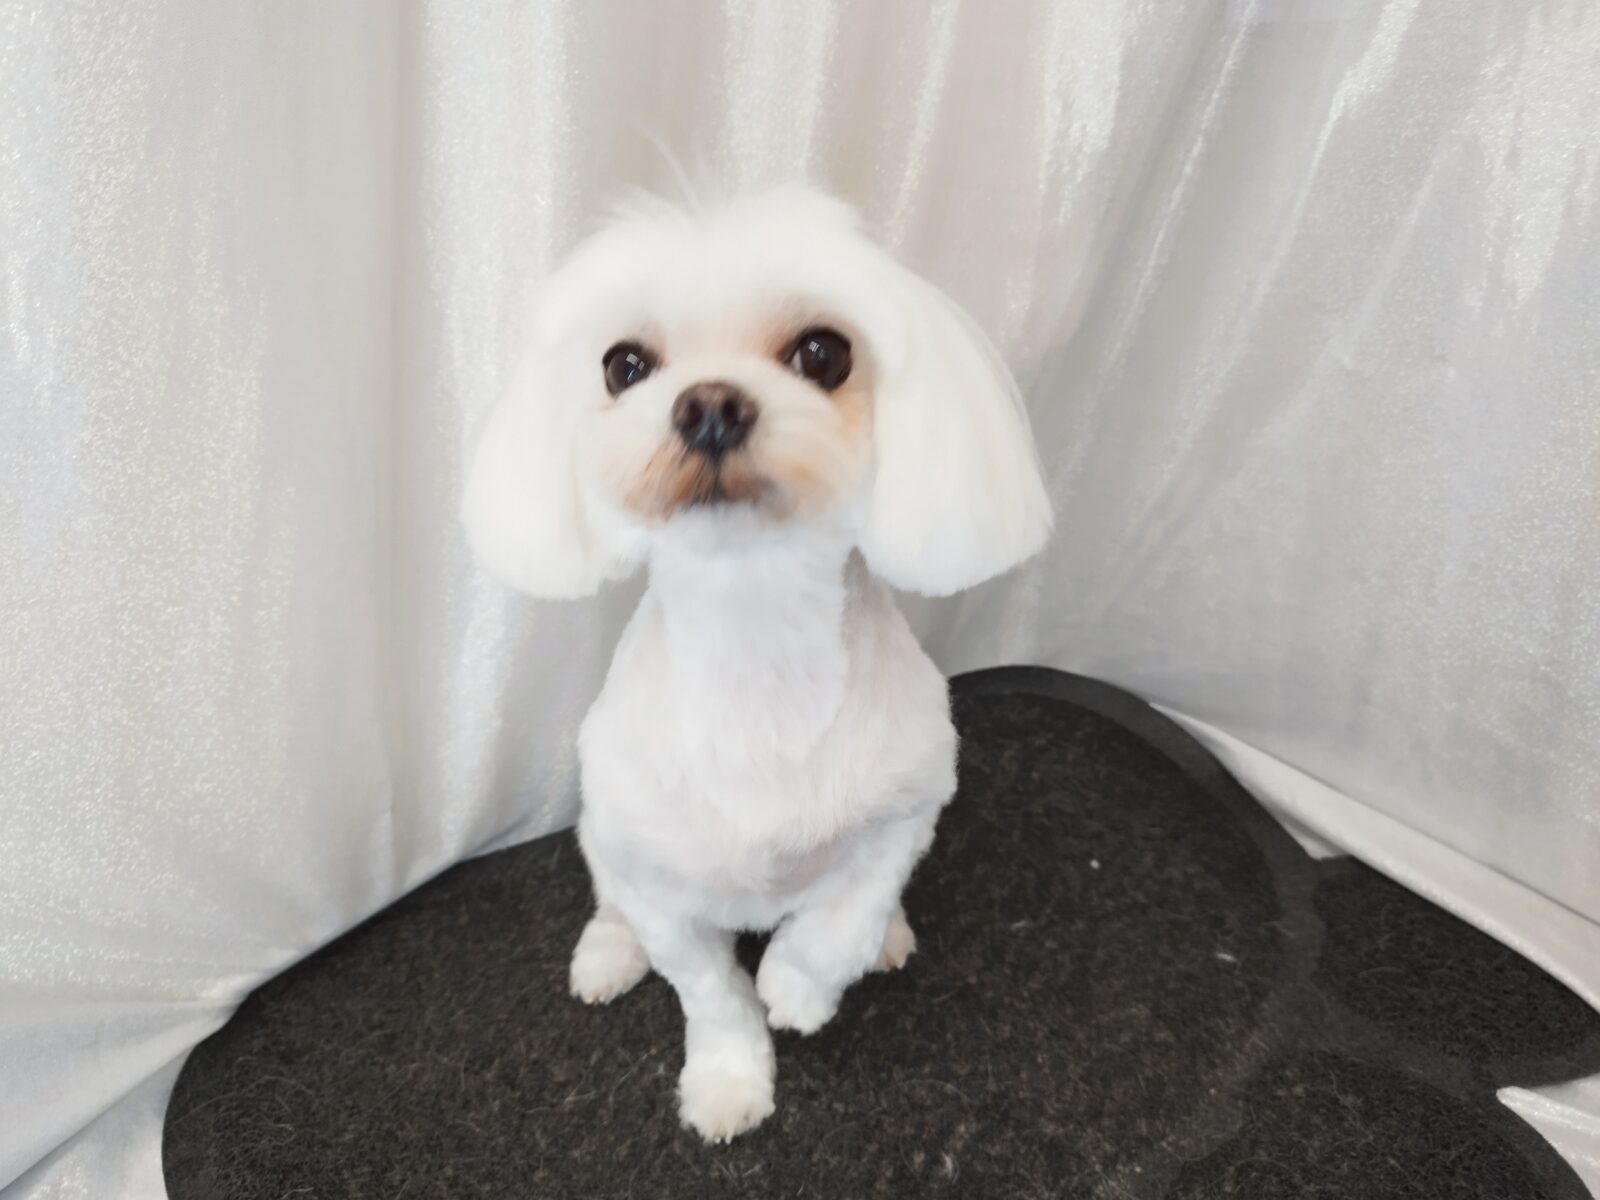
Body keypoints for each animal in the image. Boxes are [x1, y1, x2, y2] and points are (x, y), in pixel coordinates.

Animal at [462, 184, 1050, 1142]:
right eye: (624, 365)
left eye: (823, 352)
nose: (709, 405)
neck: (756, 638)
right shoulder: (663, 887)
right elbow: (710, 994)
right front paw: (728, 1080)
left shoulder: (910, 809)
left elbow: (841, 919)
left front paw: (800, 986)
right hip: (604, 833)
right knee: (608, 891)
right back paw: (607, 953)